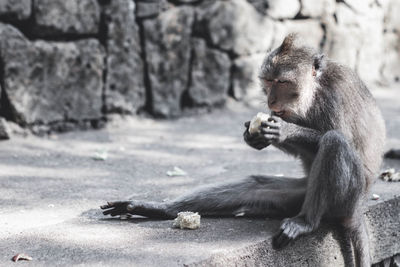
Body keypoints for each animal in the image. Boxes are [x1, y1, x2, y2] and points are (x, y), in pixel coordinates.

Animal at [101, 34, 386, 266]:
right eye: (269, 81)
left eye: (283, 82)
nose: (271, 100)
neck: (314, 91)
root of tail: (358, 210)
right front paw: (255, 136)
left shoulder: (336, 94)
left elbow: (344, 138)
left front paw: (284, 130)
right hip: (299, 195)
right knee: (255, 185)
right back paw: (161, 209)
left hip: (346, 199)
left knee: (334, 142)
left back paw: (305, 222)